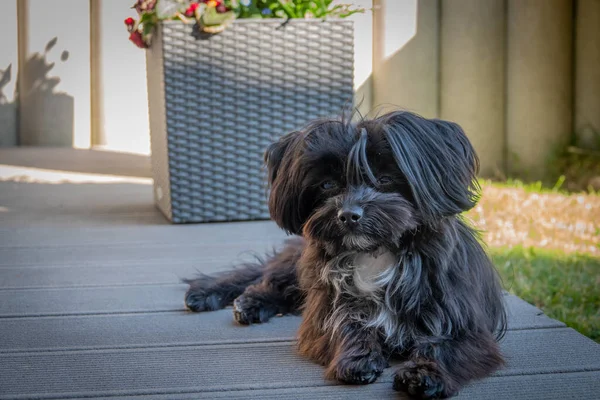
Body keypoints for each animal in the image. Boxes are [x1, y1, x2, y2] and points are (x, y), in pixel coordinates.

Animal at [184, 111, 506, 398]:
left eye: (385, 179)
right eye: (327, 184)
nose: (349, 215)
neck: (377, 252)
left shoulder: (464, 323)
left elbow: (444, 346)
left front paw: (424, 374)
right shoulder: (325, 308)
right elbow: (344, 323)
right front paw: (357, 357)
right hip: (301, 264)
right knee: (268, 278)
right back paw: (238, 299)